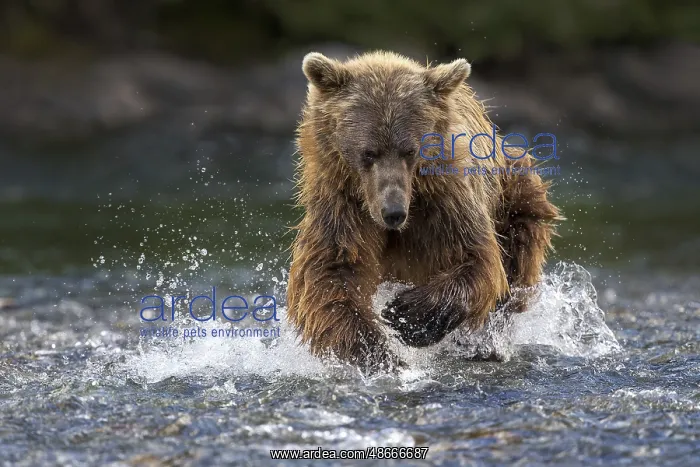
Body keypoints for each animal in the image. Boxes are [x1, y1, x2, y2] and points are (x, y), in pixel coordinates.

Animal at [286, 50, 561, 373]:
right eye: (369, 152)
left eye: (410, 150)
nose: (393, 212)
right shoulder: (340, 202)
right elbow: (330, 273)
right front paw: (377, 352)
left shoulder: (447, 199)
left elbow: (475, 259)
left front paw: (407, 315)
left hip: (513, 191)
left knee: (519, 252)